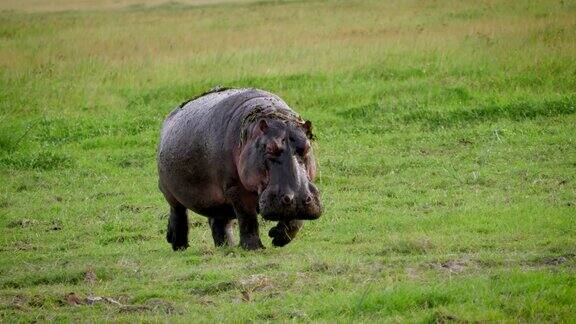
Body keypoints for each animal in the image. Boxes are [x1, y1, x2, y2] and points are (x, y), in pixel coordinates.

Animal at [156, 86, 324, 251]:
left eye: (308, 146)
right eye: (269, 148)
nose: (298, 199)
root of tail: (170, 116)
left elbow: (296, 221)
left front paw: (277, 237)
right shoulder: (236, 188)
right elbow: (247, 218)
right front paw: (254, 249)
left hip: (218, 202)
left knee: (219, 221)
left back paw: (226, 247)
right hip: (171, 193)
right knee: (178, 214)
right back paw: (179, 245)